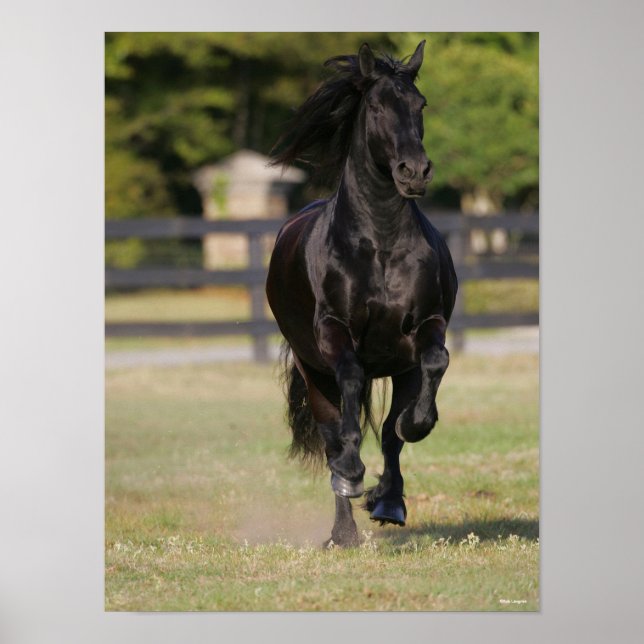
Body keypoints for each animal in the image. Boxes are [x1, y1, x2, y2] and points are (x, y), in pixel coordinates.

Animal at [266, 41, 458, 547]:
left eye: (420, 105)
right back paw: (344, 524)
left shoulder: (425, 329)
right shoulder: (334, 333)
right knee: (333, 433)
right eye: (376, 107)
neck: (381, 244)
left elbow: (429, 375)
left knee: (390, 432)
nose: (414, 171)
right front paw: (352, 473)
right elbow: (350, 386)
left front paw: (414, 432)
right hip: (313, 371)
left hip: (399, 367)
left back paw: (389, 501)